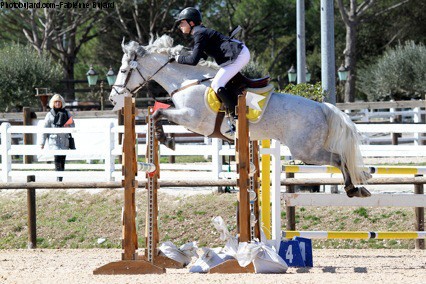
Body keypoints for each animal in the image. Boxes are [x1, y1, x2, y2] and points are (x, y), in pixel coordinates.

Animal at [110, 35, 372, 197]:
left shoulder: (192, 118)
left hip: (305, 151)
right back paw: (356, 188)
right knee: (339, 159)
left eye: (123, 70)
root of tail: (322, 108)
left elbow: (156, 114)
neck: (186, 81)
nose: (113, 99)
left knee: (339, 158)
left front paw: (166, 139)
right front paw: (166, 138)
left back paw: (353, 188)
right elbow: (157, 113)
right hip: (308, 149)